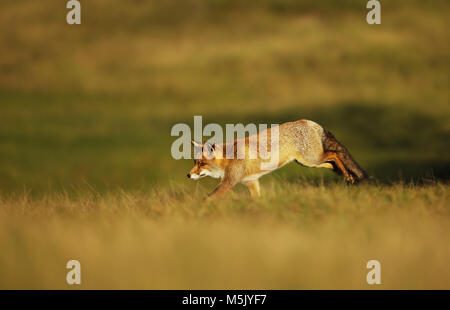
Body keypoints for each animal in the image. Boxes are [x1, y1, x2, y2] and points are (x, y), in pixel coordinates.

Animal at [188, 118, 368, 199]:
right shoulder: (251, 182)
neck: (229, 158)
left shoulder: (228, 182)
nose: (188, 175)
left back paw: (348, 176)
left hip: (312, 158)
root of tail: (310, 122)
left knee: (334, 154)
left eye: (202, 164)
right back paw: (346, 175)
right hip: (307, 163)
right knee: (330, 163)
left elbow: (208, 199)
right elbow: (257, 200)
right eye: (195, 163)